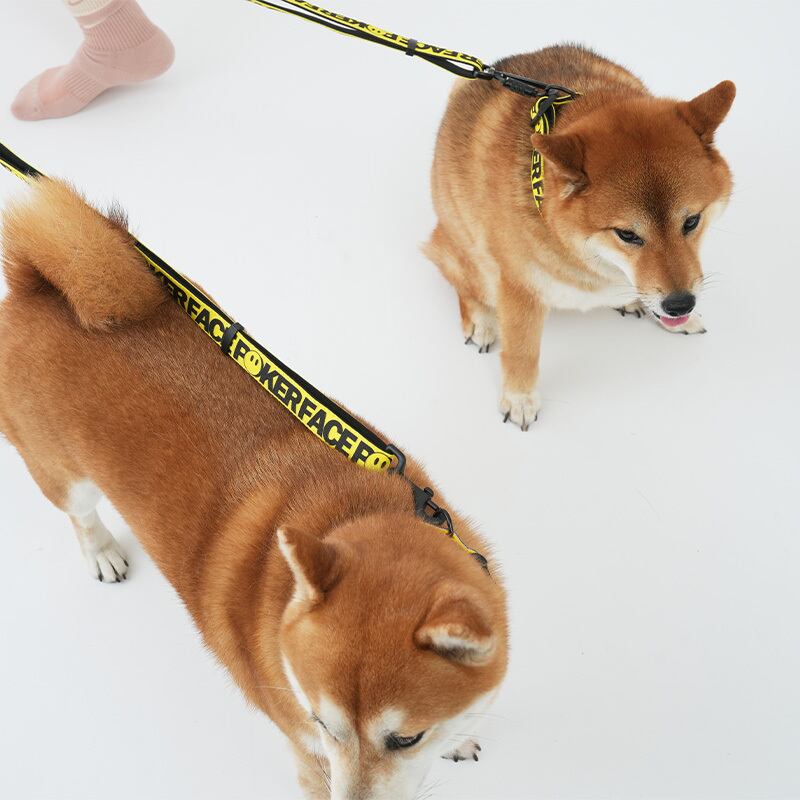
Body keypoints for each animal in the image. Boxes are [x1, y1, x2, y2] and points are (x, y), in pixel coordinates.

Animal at [0, 179, 508, 800]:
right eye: (322, 724)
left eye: (407, 738)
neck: (350, 512)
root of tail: (36, 287)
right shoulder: (306, 751)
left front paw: (459, 740)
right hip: (63, 476)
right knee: (79, 515)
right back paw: (102, 553)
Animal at [424, 44, 735, 428]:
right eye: (627, 234)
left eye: (692, 221)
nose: (681, 305)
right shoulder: (519, 289)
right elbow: (522, 350)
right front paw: (519, 398)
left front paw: (679, 319)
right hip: (467, 254)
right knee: (461, 281)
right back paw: (481, 321)